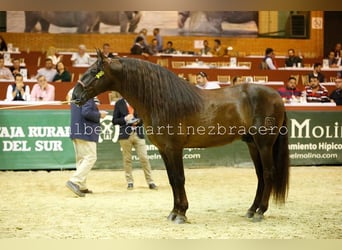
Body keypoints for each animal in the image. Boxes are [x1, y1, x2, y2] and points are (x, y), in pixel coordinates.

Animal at [71, 51, 288, 224]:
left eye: (93, 71)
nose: (74, 95)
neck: (163, 101)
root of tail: (276, 95)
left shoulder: (174, 148)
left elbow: (179, 178)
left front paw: (181, 214)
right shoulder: (164, 150)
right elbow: (172, 179)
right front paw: (174, 212)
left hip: (264, 144)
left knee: (269, 173)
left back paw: (260, 212)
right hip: (252, 145)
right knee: (260, 175)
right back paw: (251, 210)